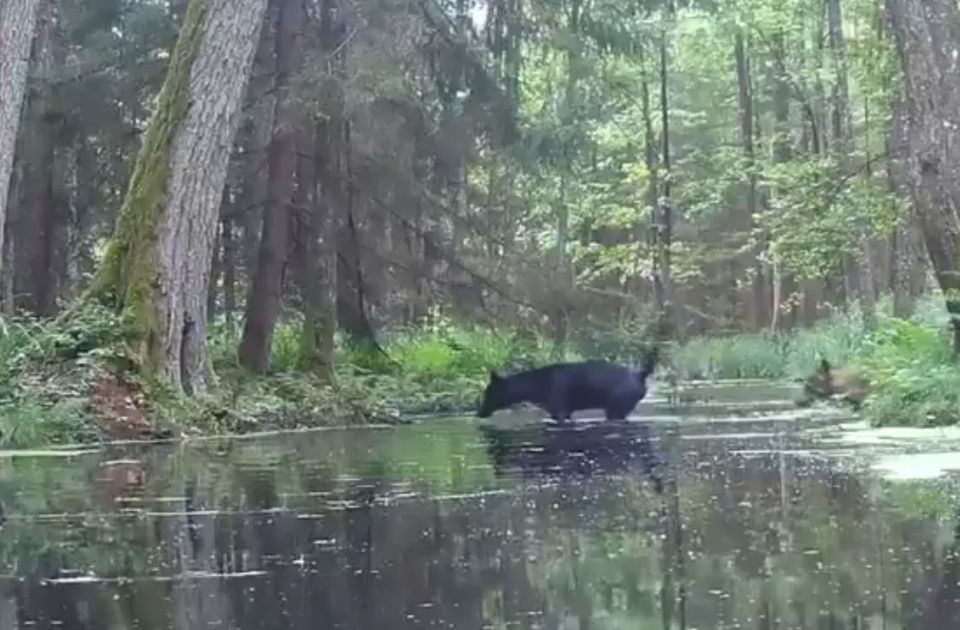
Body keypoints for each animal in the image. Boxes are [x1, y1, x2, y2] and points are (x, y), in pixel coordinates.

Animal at [474, 354, 656, 422]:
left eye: (489, 391)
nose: (479, 413)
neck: (535, 388)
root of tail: (641, 374)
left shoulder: (560, 410)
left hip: (616, 408)